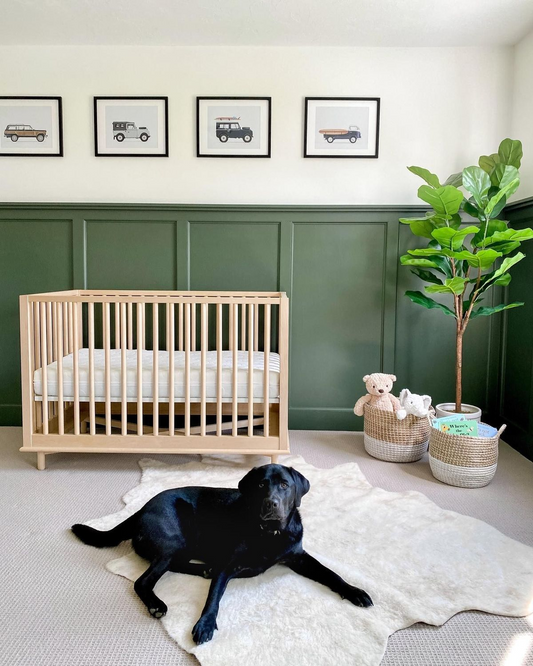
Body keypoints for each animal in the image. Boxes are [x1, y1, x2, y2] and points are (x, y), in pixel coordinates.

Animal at [70, 462, 372, 644]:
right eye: (261, 485)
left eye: (284, 485)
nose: (271, 504)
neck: (269, 533)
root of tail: (141, 508)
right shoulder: (229, 565)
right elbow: (213, 597)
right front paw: (204, 624)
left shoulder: (298, 556)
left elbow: (331, 574)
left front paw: (355, 591)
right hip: (175, 539)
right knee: (143, 580)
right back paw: (158, 603)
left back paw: (203, 569)